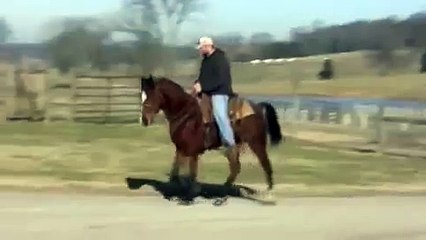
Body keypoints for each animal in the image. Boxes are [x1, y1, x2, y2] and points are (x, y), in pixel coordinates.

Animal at [140, 75, 284, 201]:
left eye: (150, 96)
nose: (144, 120)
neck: (186, 114)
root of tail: (258, 106)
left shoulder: (192, 151)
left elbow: (192, 173)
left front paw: (190, 194)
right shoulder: (181, 148)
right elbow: (175, 172)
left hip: (256, 142)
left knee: (264, 164)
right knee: (236, 167)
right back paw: (223, 191)